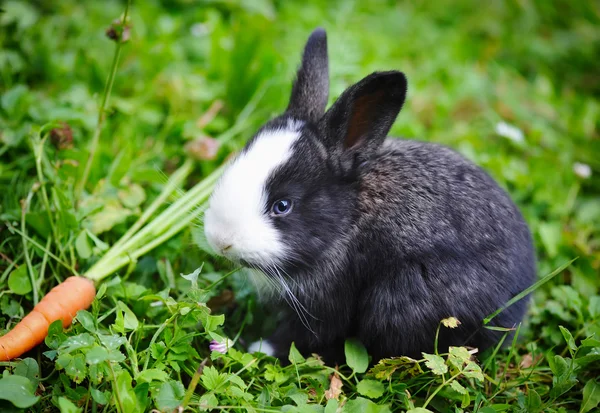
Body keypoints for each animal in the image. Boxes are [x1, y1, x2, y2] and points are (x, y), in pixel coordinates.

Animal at [202, 28, 536, 364]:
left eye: (282, 206)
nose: (220, 240)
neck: (348, 220)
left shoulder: (327, 303)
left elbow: (301, 337)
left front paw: (257, 347)